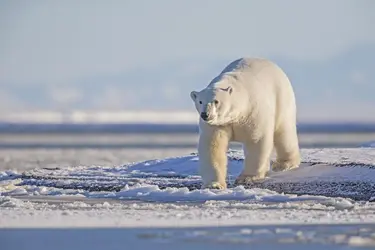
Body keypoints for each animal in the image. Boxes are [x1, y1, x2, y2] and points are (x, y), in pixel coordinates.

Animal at [189, 57, 302, 189]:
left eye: (216, 101)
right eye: (200, 101)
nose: (205, 114)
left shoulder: (253, 112)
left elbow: (257, 141)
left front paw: (247, 178)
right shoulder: (217, 124)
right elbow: (212, 146)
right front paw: (214, 184)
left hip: (282, 97)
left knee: (284, 131)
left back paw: (284, 164)